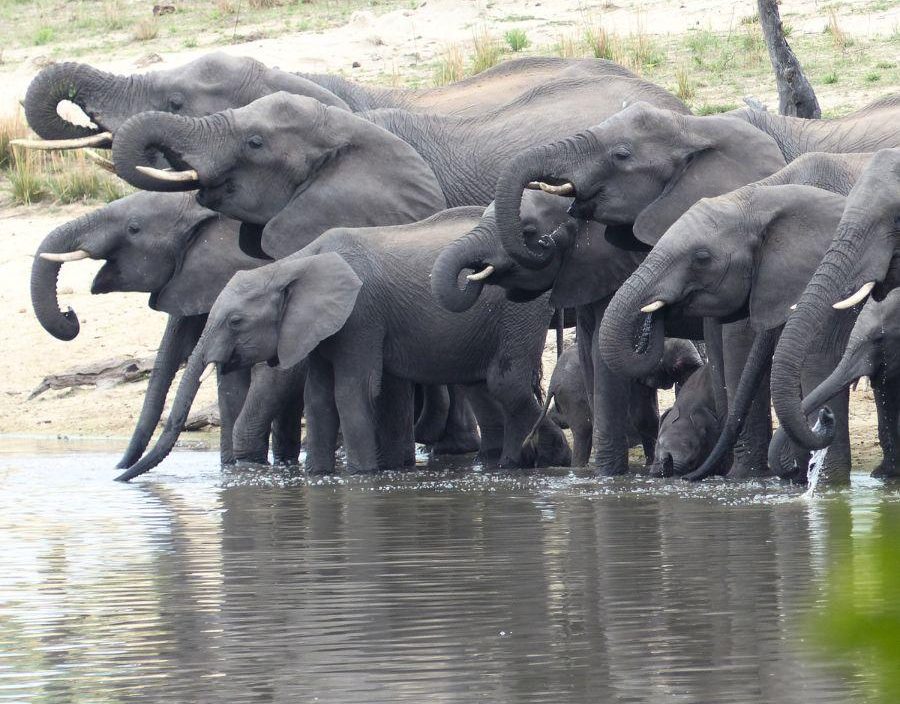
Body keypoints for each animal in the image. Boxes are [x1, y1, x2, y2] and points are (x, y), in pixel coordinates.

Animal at [117, 207, 571, 481]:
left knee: (506, 382)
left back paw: (547, 461)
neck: (294, 264)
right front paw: (318, 476)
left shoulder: (361, 314)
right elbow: (319, 396)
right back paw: (513, 464)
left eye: (235, 321)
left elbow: (353, 391)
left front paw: (360, 476)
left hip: (519, 309)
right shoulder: (320, 327)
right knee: (488, 386)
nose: (119, 476)